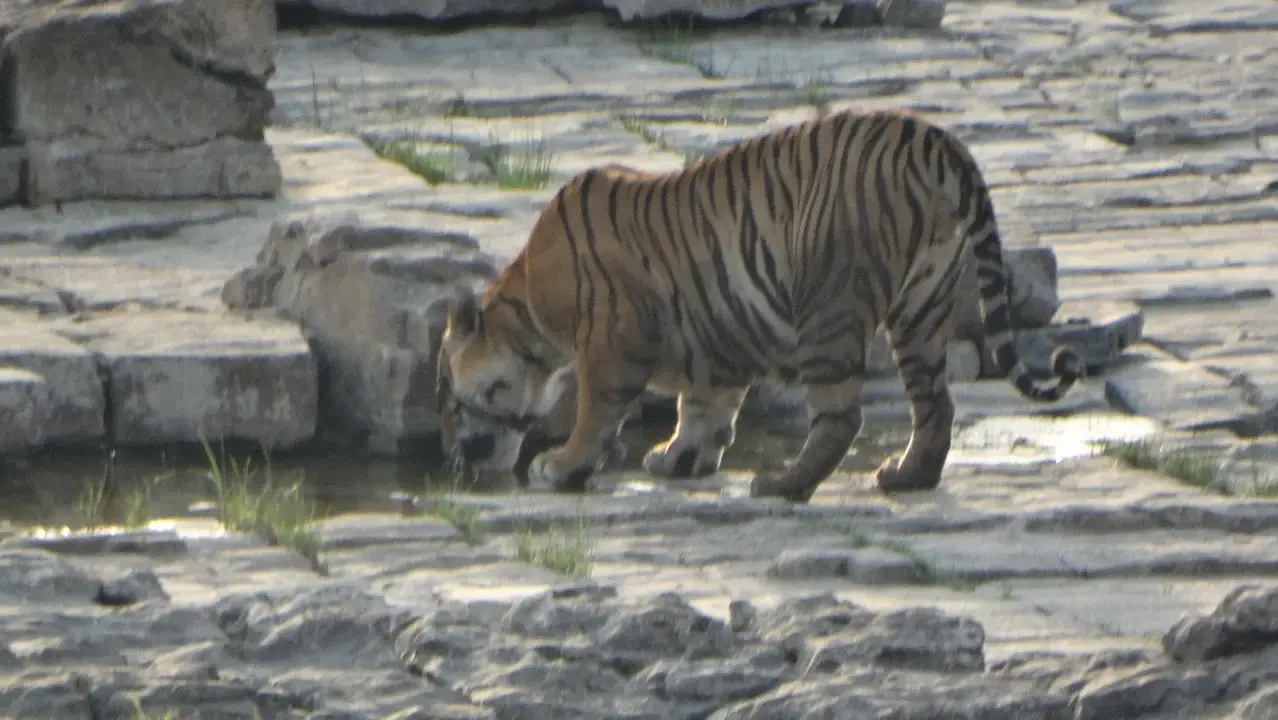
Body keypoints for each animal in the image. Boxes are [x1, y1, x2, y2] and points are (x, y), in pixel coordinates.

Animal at [435, 107, 1082, 503]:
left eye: (453, 399)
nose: (460, 452)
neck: (527, 314)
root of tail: (933, 139)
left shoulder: (614, 341)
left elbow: (598, 410)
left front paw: (562, 464)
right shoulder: (713, 334)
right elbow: (703, 404)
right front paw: (680, 457)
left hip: (830, 300)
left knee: (841, 416)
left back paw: (782, 484)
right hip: (923, 304)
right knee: (935, 406)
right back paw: (906, 477)